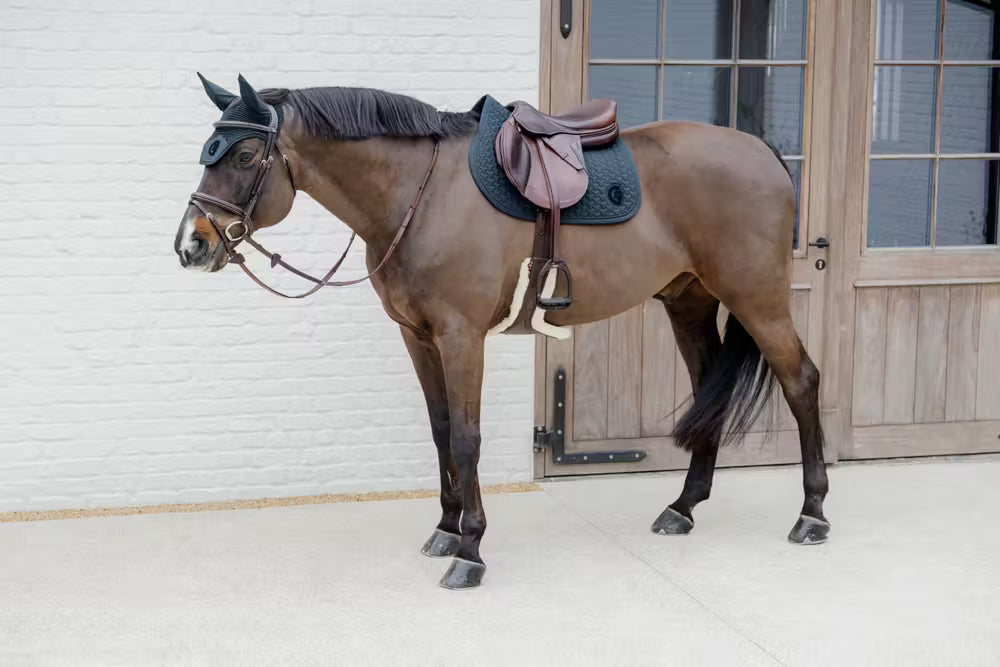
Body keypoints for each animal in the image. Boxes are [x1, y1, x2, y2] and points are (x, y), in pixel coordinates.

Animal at [174, 74, 829, 590]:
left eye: (242, 157)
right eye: (209, 153)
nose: (191, 246)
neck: (421, 194)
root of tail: (763, 153)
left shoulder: (461, 336)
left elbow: (467, 438)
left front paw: (470, 550)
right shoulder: (418, 337)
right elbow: (441, 432)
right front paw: (445, 529)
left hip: (757, 299)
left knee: (802, 381)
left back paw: (812, 514)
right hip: (688, 302)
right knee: (707, 393)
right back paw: (683, 508)